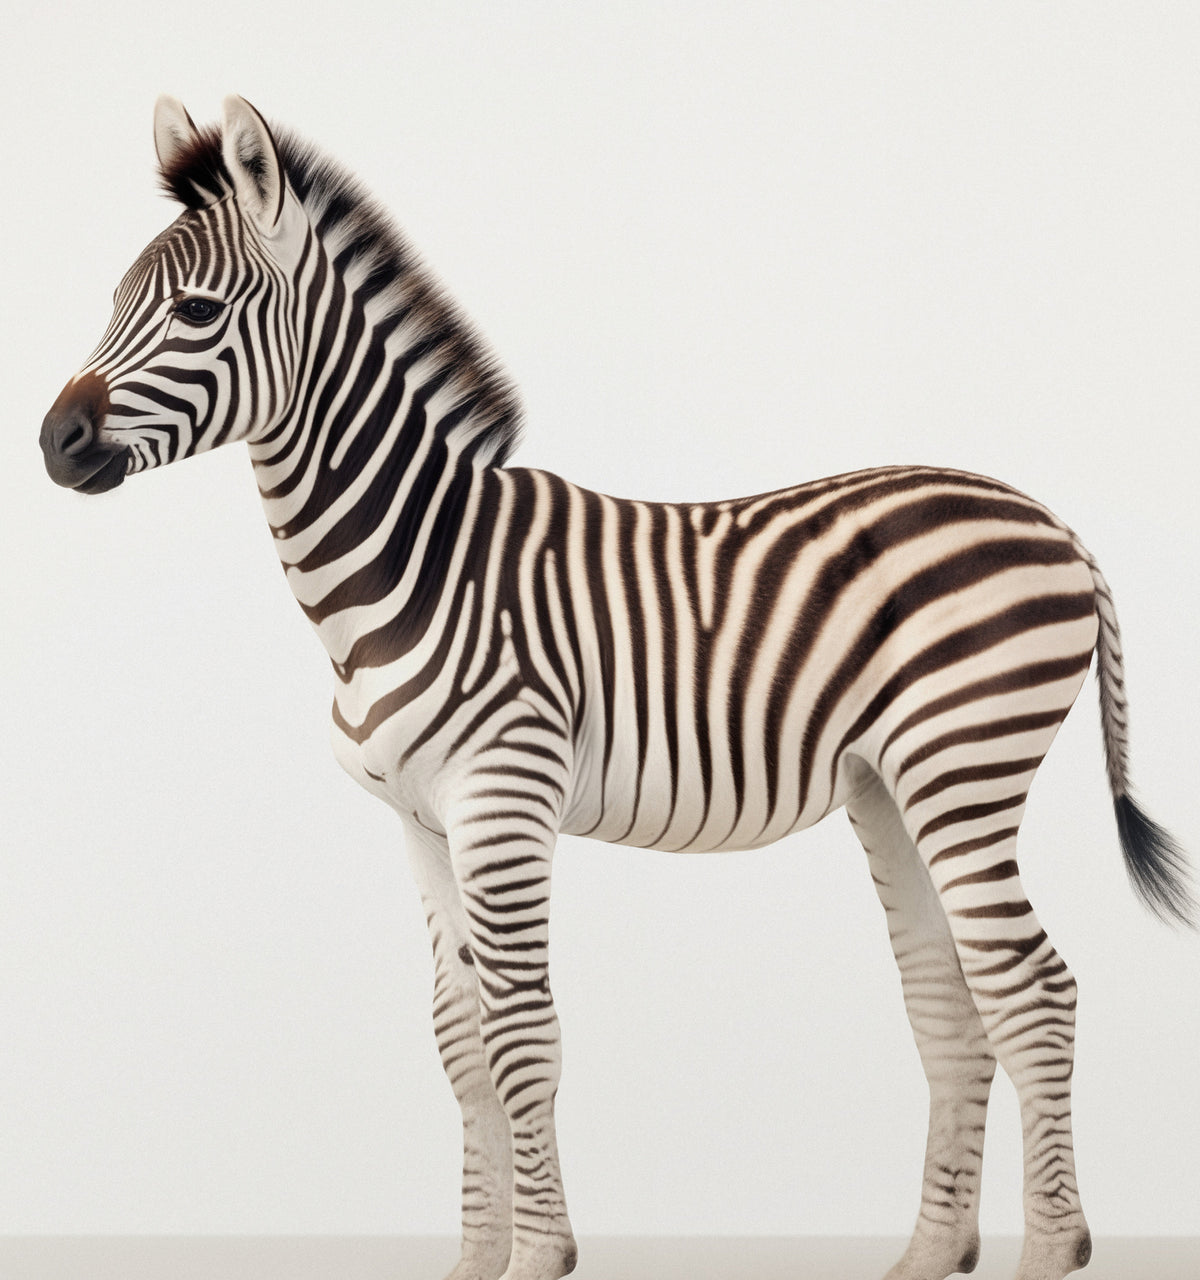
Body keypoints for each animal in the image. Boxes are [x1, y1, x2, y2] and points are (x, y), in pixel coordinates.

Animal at [39, 96, 1192, 1280]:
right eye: (115, 300)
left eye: (196, 309)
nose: (53, 440)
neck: (410, 566)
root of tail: (1053, 519)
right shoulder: (418, 822)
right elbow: (458, 1041)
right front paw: (474, 1259)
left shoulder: (503, 799)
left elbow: (520, 1034)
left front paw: (540, 1253)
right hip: (891, 784)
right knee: (949, 1002)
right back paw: (928, 1253)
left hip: (966, 762)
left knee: (1033, 990)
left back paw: (1051, 1246)